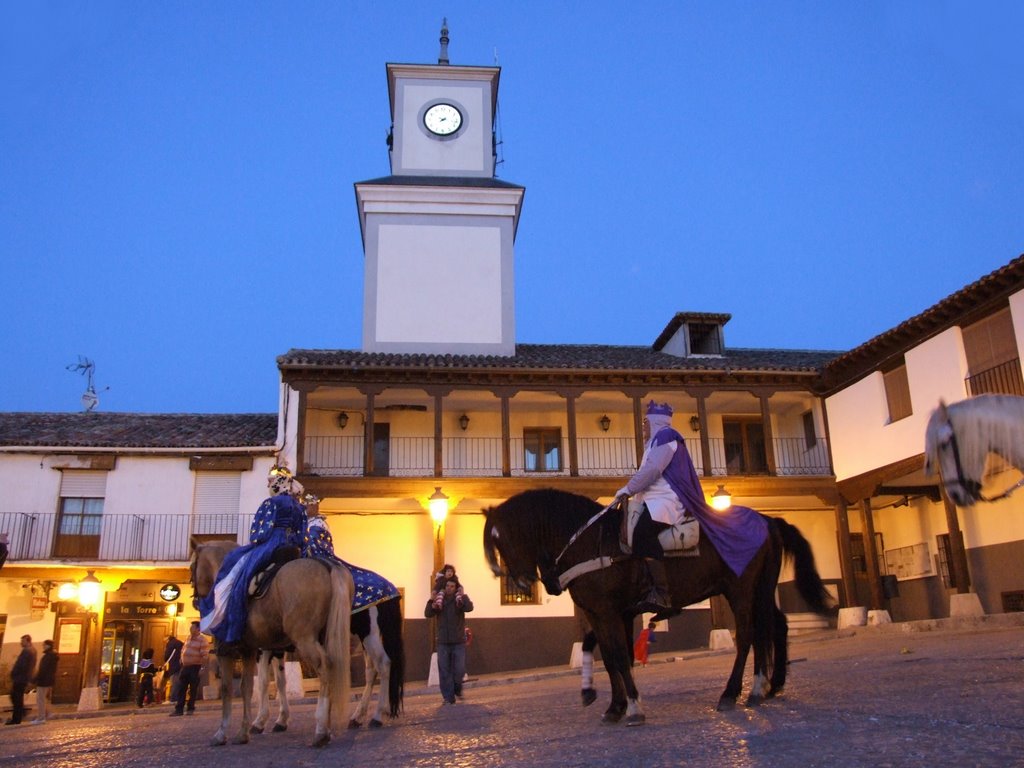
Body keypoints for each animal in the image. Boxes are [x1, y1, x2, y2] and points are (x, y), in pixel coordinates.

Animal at [190, 536, 354, 749]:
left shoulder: (226, 650)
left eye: (192, 567)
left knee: (326, 666)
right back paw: (329, 726)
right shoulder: (251, 650)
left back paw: (320, 730)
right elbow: (248, 686)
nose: (195, 601)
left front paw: (221, 733)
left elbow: (229, 688)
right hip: (327, 636)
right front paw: (245, 731)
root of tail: (327, 565)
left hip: (305, 639)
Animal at [250, 593, 403, 733]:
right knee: (371, 671)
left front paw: (259, 721)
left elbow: (262, 682)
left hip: (369, 634)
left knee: (383, 664)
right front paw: (281, 720)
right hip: (364, 639)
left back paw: (377, 716)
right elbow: (280, 681)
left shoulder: (263, 647)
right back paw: (357, 717)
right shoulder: (276, 648)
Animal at [481, 489, 831, 724]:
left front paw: (634, 708)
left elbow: (619, 657)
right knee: (773, 628)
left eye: (502, 539)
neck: (588, 541)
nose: (523, 583)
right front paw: (615, 706)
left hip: (741, 589)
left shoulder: (607, 612)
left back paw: (735, 693)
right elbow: (612, 658)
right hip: (761, 590)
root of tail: (767, 520)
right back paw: (769, 686)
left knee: (747, 635)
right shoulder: (606, 613)